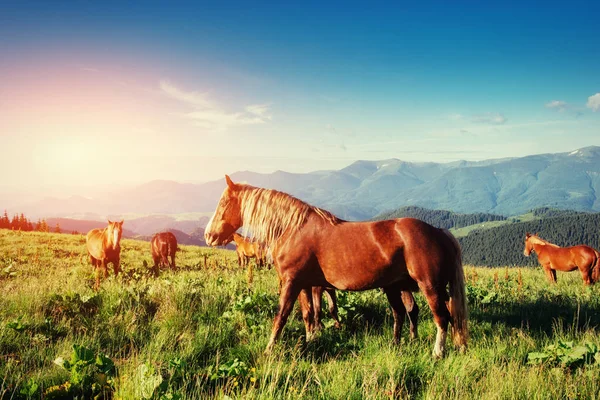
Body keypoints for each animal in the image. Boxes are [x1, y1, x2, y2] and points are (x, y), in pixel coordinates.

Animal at [206, 175, 468, 356]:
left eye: (223, 203)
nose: (209, 236)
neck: (293, 229)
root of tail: (439, 232)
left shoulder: (291, 282)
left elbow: (281, 315)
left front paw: (270, 348)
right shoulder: (305, 285)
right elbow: (308, 314)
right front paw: (311, 340)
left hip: (430, 286)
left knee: (442, 317)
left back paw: (437, 353)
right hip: (395, 287)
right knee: (404, 313)